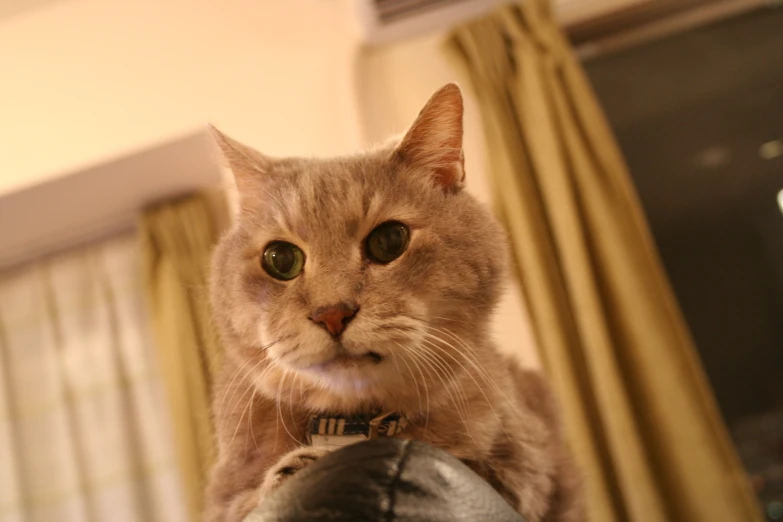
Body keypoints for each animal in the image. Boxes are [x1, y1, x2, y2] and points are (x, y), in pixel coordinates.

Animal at [202, 83, 580, 516]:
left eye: (389, 241)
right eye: (280, 259)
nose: (332, 313)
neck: (351, 425)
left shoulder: (530, 470)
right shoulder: (223, 495)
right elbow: (243, 502)